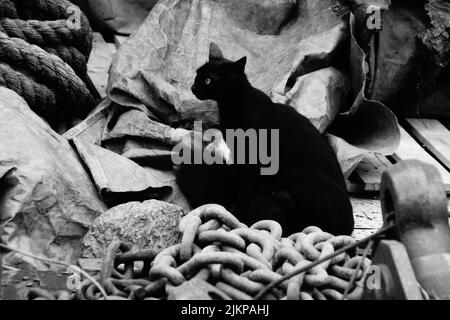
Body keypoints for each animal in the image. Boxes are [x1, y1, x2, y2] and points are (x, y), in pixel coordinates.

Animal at [177, 44, 356, 235]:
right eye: (197, 75)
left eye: (208, 80)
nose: (193, 87)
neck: (234, 105)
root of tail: (350, 225)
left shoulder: (254, 157)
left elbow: (248, 184)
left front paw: (242, 212)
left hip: (307, 178)